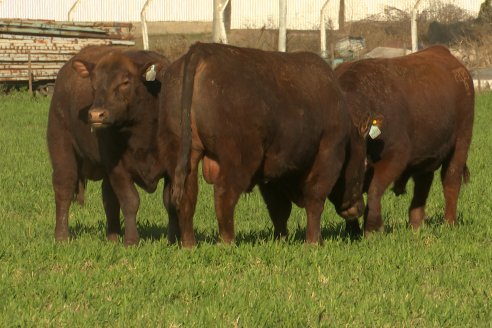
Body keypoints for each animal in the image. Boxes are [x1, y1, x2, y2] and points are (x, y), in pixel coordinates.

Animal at [47, 44, 169, 245]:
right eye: (94, 85)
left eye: (125, 82)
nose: (96, 114)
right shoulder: (117, 167)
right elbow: (130, 201)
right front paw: (131, 240)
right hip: (61, 148)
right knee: (64, 188)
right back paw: (62, 236)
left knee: (109, 198)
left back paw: (112, 237)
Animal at [158, 42, 368, 246]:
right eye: (363, 166)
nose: (359, 208)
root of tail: (201, 49)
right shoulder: (327, 157)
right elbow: (314, 201)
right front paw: (314, 242)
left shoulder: (271, 174)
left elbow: (279, 209)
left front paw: (280, 240)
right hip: (238, 159)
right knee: (224, 196)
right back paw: (226, 242)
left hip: (184, 154)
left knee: (186, 197)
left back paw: (189, 244)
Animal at [334, 44, 472, 232]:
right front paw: (353, 231)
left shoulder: (396, 156)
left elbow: (374, 190)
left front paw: (373, 229)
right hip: (426, 153)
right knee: (423, 184)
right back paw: (416, 225)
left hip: (461, 143)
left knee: (451, 180)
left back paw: (449, 222)